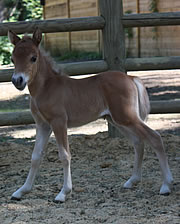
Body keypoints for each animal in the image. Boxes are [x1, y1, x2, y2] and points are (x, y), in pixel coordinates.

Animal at [8, 28, 173, 202]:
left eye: (33, 58)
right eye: (12, 58)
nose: (17, 80)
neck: (46, 87)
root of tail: (130, 77)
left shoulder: (59, 122)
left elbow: (65, 155)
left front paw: (63, 193)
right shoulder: (43, 125)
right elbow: (35, 157)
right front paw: (22, 191)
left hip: (126, 117)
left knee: (155, 138)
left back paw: (166, 185)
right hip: (117, 120)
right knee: (138, 142)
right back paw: (132, 181)